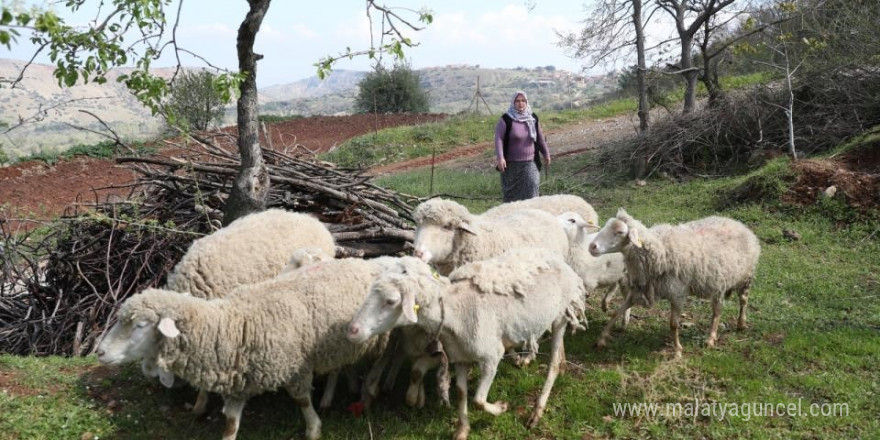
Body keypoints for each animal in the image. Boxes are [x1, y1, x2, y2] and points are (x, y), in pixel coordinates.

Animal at [95, 256, 392, 440]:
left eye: (140, 325)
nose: (99, 352)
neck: (232, 326)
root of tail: (363, 262)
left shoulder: (294, 368)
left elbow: (302, 401)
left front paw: (314, 429)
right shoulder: (239, 380)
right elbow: (230, 423)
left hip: (378, 338)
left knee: (378, 362)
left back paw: (368, 392)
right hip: (340, 344)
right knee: (340, 367)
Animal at [348, 249, 588, 438]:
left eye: (391, 301)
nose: (352, 331)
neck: (456, 310)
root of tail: (559, 260)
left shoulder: (492, 356)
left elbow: (478, 401)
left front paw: (501, 407)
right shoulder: (460, 358)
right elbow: (462, 395)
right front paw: (462, 430)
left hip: (560, 316)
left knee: (553, 363)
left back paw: (537, 411)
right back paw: (562, 367)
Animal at [588, 209, 760, 358]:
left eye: (620, 232)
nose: (592, 246)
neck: (659, 250)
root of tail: (738, 223)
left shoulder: (677, 293)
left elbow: (673, 324)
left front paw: (677, 350)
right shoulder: (641, 288)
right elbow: (617, 311)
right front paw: (601, 339)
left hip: (744, 277)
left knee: (736, 303)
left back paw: (727, 330)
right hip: (719, 282)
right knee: (718, 309)